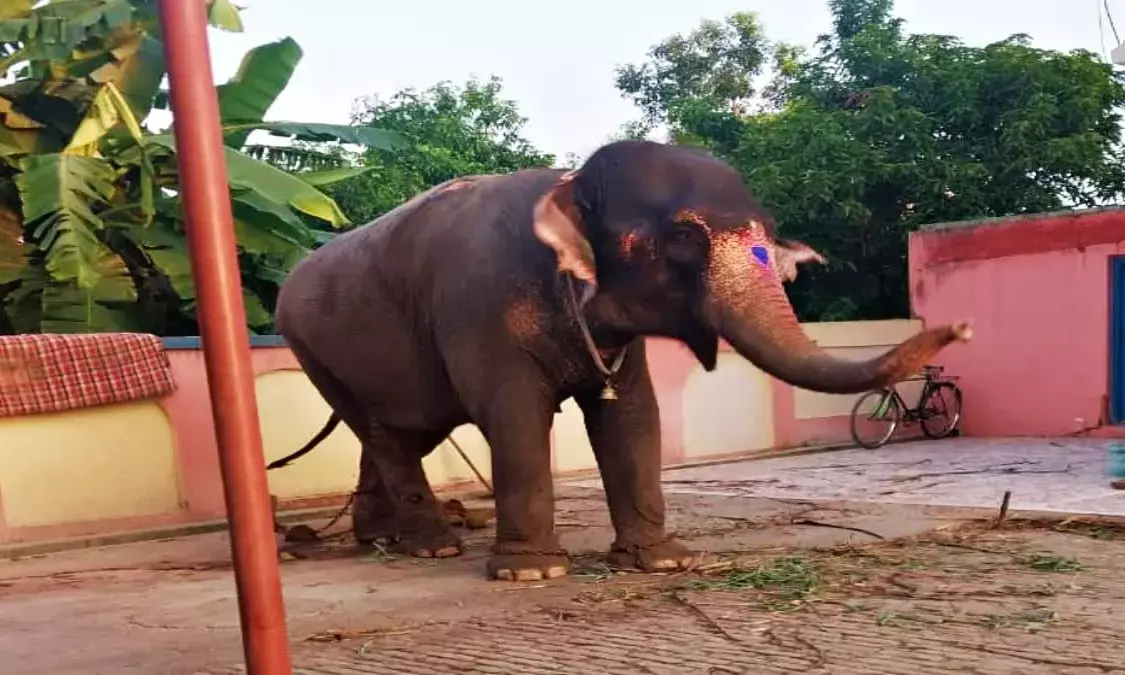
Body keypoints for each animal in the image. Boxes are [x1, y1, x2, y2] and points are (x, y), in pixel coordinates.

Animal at [273, 139, 971, 582]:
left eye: (770, 235)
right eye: (684, 238)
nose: (962, 325)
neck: (568, 184)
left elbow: (632, 415)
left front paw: (663, 562)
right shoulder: (480, 310)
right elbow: (514, 417)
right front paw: (532, 573)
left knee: (397, 433)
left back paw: (382, 540)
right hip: (314, 349)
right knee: (390, 435)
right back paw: (433, 550)